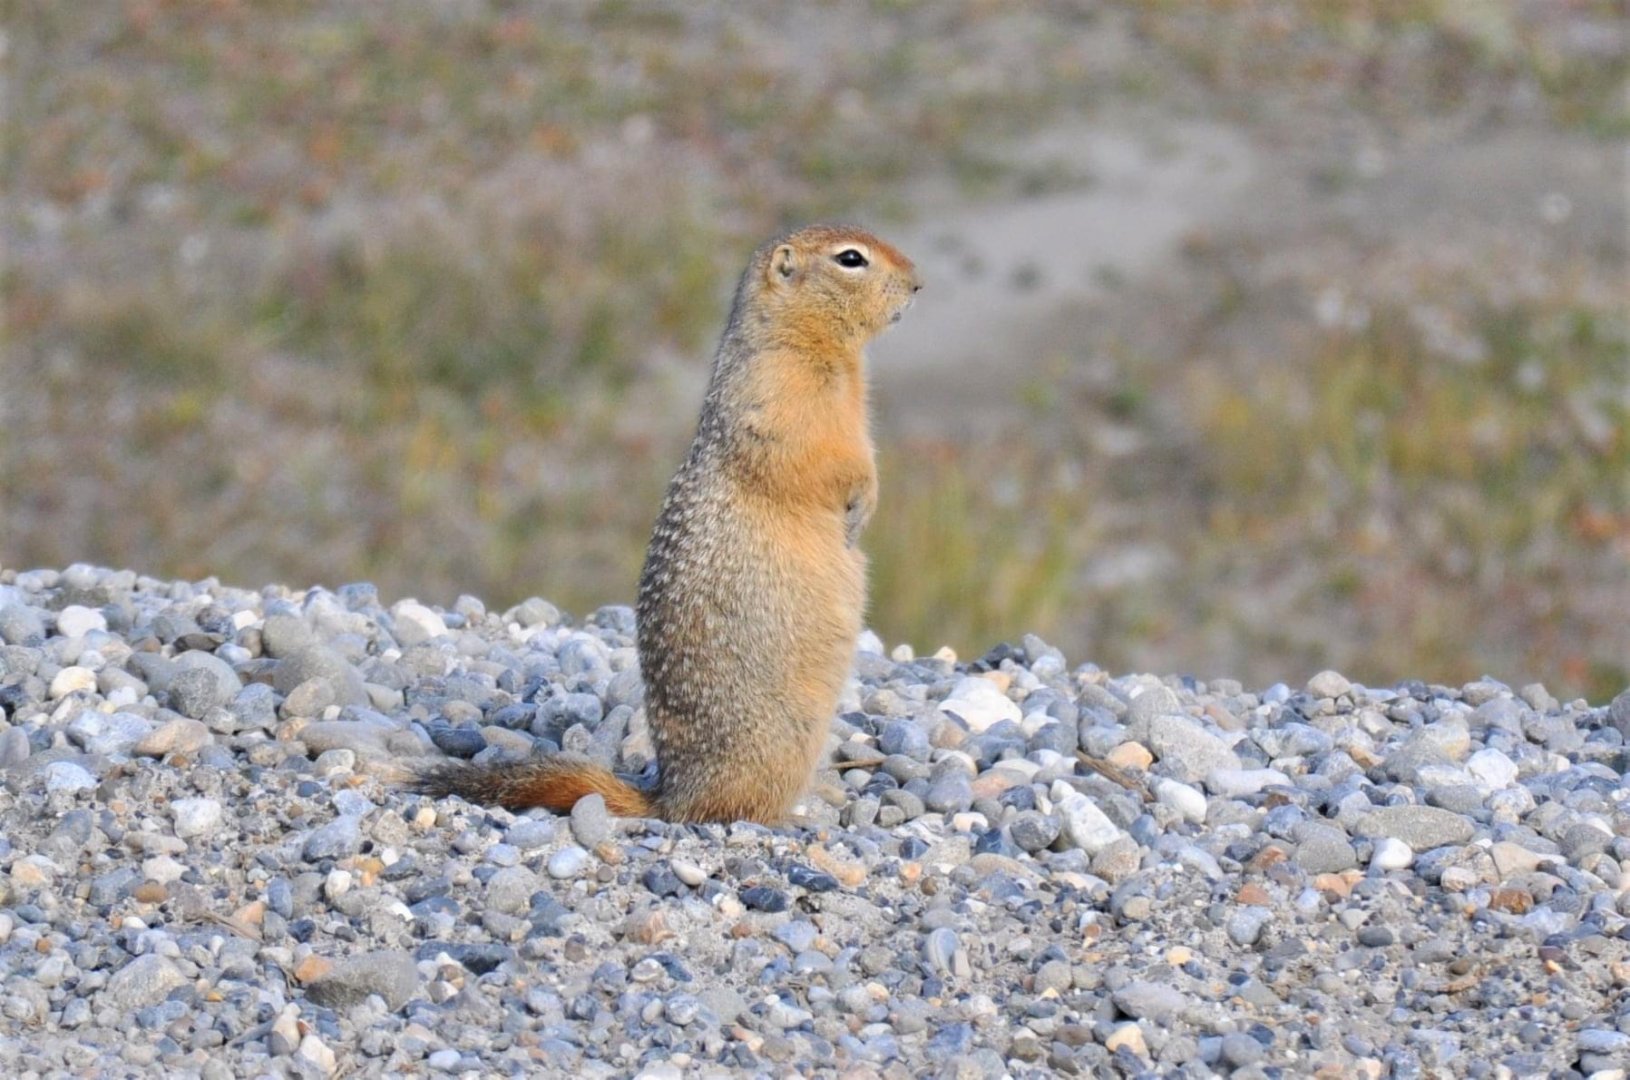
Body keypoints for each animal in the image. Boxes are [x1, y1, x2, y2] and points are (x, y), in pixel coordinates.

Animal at [412, 224, 921, 823]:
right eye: (851, 259)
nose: (917, 284)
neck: (819, 350)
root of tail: (671, 795)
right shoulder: (779, 396)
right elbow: (815, 457)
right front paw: (857, 505)